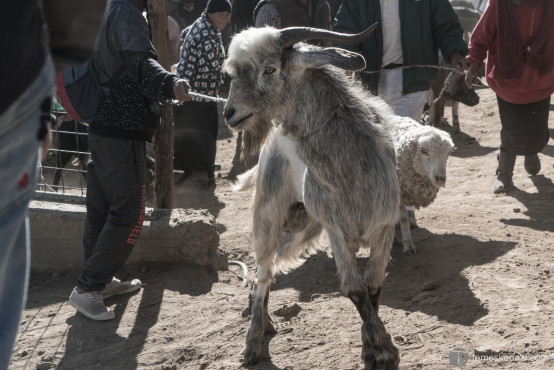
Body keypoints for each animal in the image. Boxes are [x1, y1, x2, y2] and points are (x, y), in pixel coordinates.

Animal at [222, 24, 398, 368]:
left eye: (269, 69)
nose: (229, 113)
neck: (351, 171)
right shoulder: (336, 232)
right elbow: (355, 290)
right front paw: (383, 349)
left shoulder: (383, 227)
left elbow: (373, 288)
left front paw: (371, 348)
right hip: (269, 211)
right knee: (264, 271)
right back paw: (252, 341)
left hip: (305, 224)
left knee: (271, 267)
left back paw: (265, 321)